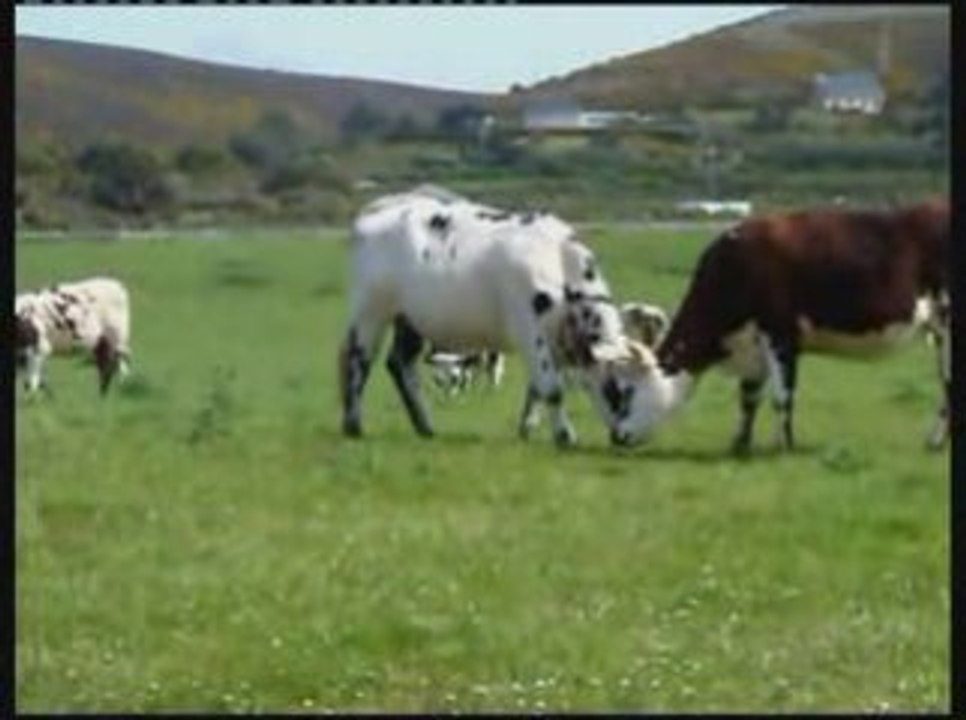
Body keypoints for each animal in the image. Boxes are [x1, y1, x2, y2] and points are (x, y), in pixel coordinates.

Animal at [338, 185, 665, 447]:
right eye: (623, 389)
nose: (625, 438)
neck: (558, 259)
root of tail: (384, 205)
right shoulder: (529, 329)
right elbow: (552, 389)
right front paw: (564, 436)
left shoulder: (555, 337)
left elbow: (536, 388)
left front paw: (527, 428)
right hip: (371, 308)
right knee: (358, 359)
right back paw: (354, 425)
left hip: (411, 318)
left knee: (400, 363)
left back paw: (425, 426)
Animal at [606, 199, 950, 453]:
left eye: (627, 392)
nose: (616, 436)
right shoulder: (752, 343)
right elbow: (748, 398)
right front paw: (740, 444)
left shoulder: (781, 334)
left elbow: (782, 396)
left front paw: (783, 446)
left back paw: (935, 442)